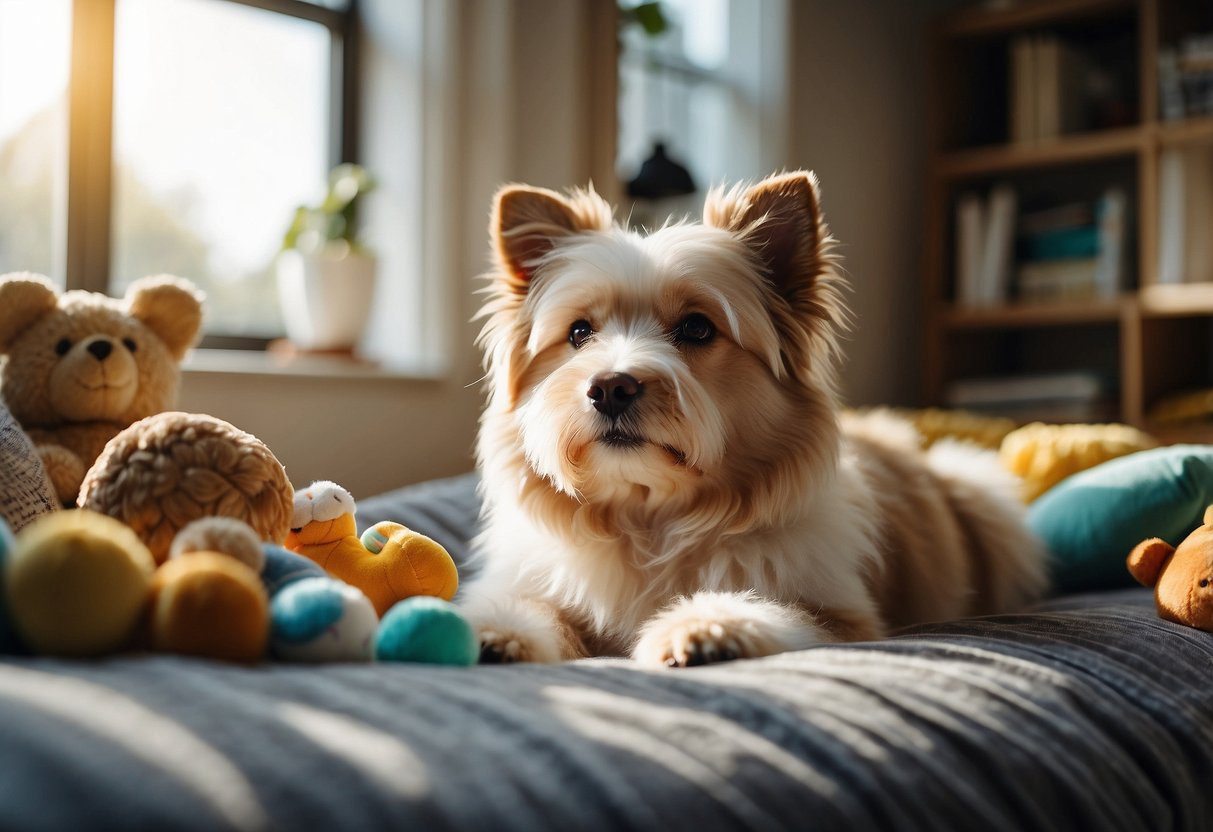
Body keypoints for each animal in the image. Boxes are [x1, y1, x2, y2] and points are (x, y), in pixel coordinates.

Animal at [458, 172, 1048, 669]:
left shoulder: (843, 618)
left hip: (982, 488)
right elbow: (532, 606)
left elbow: (777, 611)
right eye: (580, 333)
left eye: (697, 328)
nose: (609, 388)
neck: (649, 519)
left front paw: (707, 627)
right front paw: (492, 633)